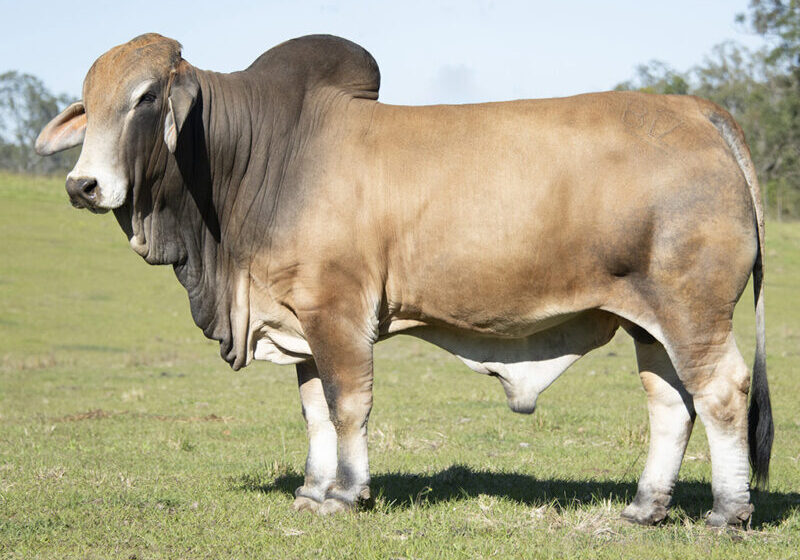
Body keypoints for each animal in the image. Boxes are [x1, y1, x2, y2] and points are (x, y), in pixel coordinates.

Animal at [35, 33, 772, 527]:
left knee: (722, 392)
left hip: (693, 310)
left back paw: (728, 512)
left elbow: (347, 405)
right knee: (670, 403)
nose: (82, 185)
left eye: (144, 98)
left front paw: (345, 494)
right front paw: (312, 489)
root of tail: (698, 111)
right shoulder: (299, 322)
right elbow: (314, 410)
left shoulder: (336, 312)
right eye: (88, 103)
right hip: (649, 321)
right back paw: (645, 507)